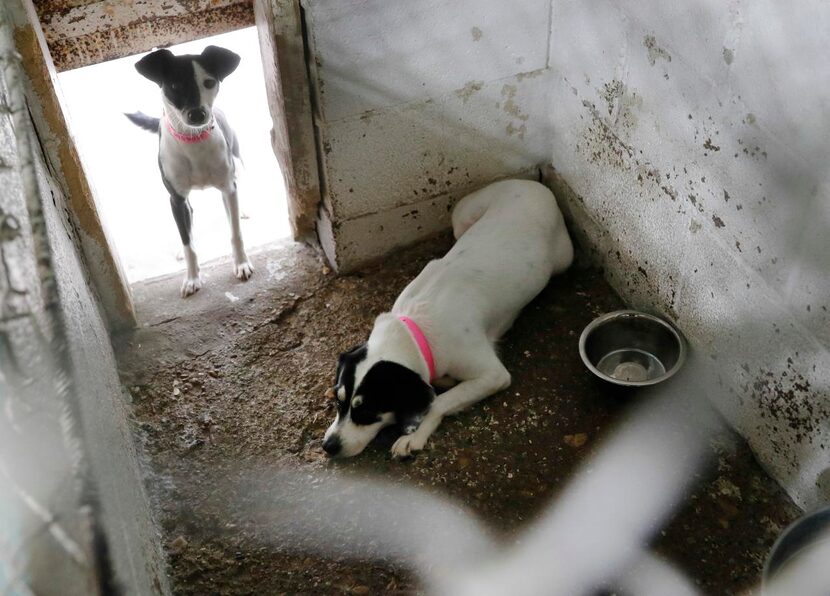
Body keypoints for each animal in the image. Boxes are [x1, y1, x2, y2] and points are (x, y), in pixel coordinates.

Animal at [127, 45, 254, 296]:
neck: (193, 140)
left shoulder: (228, 187)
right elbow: (188, 244)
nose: (197, 114)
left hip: (238, 161)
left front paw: (242, 263)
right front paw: (192, 278)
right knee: (189, 220)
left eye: (209, 82)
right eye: (175, 85)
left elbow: (235, 233)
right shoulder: (176, 199)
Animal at [324, 179, 580, 458]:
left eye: (368, 410)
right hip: (462, 220)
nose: (328, 446)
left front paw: (415, 434)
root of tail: (534, 185)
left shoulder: (493, 375)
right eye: (337, 400)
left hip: (563, 260)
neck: (415, 331)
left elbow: (438, 401)